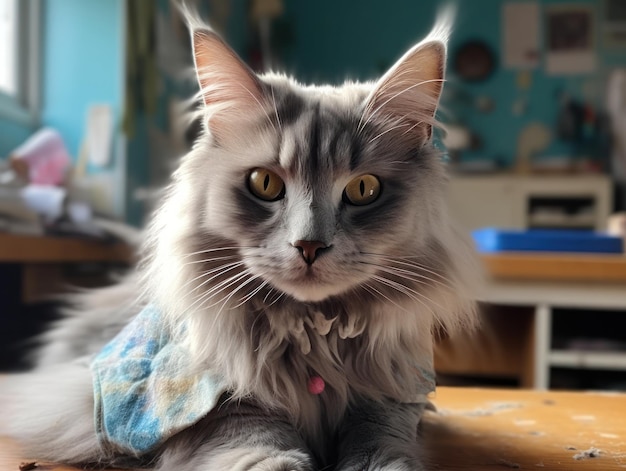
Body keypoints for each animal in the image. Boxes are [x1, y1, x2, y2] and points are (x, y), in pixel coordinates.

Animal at [1, 8, 478, 471]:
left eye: (363, 189)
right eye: (264, 183)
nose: (309, 245)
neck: (314, 338)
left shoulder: (394, 392)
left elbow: (382, 439)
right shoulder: (200, 397)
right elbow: (254, 438)